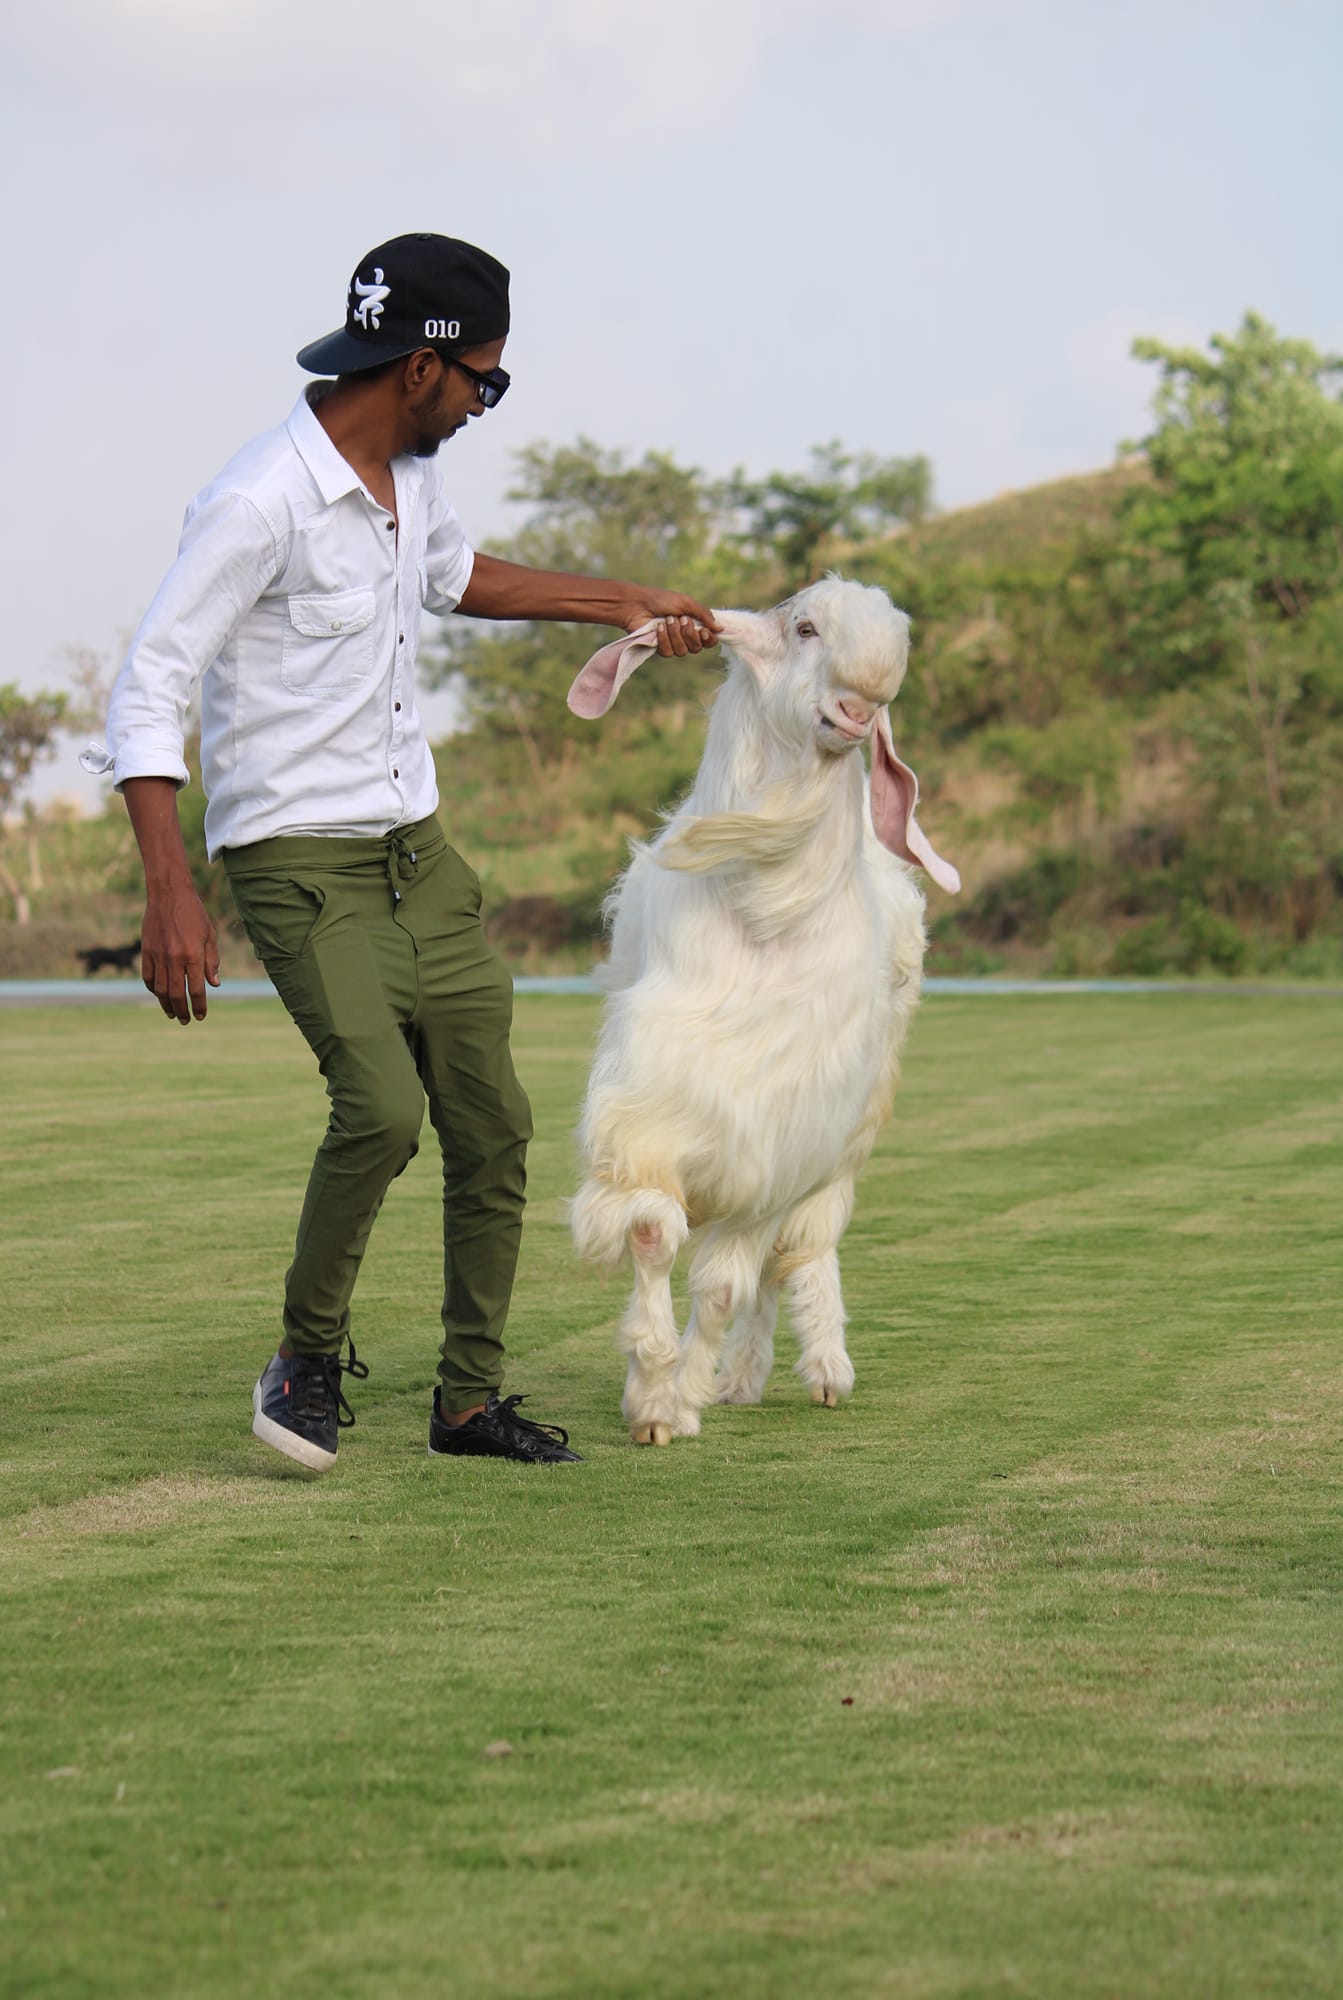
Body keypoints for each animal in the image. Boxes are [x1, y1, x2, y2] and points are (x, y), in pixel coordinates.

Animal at [567, 577, 959, 1445]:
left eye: (888, 694)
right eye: (803, 627)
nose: (855, 713)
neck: (764, 911)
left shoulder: (783, 1135)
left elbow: (721, 1287)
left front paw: (679, 1395)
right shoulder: (658, 1107)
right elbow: (653, 1232)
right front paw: (653, 1390)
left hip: (845, 1136)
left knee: (799, 1254)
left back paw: (815, 1369)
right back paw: (743, 1378)